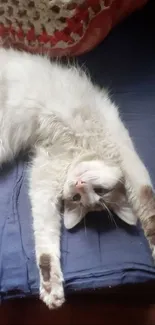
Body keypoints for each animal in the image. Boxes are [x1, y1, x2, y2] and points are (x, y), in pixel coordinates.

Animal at [0, 47, 154, 306]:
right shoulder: (125, 154)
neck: (79, 148)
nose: (79, 186)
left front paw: (51, 287)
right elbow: (147, 200)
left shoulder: (45, 174)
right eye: (100, 191)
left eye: (78, 199)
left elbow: (46, 233)